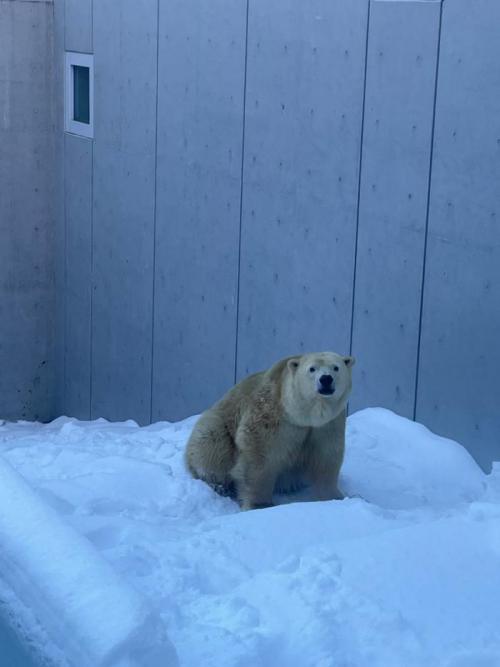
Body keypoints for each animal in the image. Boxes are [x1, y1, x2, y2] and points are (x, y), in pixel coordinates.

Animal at [185, 350, 356, 512]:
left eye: (336, 367)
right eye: (312, 369)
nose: (326, 379)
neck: (302, 415)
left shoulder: (327, 425)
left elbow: (326, 456)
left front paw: (335, 497)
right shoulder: (273, 413)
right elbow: (259, 453)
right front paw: (260, 505)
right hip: (218, 425)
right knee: (210, 445)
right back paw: (219, 485)